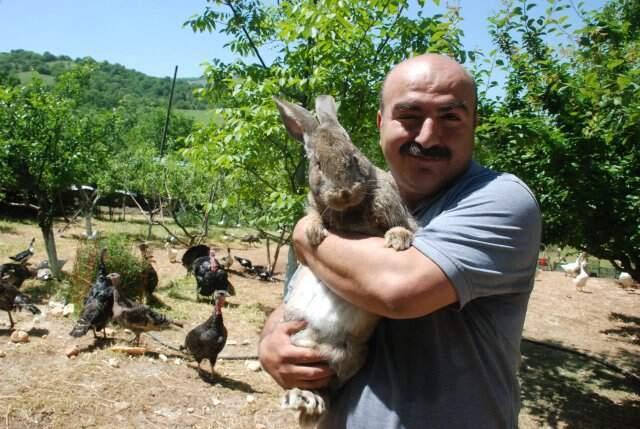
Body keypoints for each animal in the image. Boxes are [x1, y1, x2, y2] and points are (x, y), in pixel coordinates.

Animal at [274, 95, 416, 426]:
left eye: (353, 157)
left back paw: (307, 402)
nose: (344, 192)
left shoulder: (392, 204)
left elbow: (402, 224)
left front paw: (398, 240)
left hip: (350, 356)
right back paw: (301, 399)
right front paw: (313, 232)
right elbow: (313, 215)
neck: (351, 211)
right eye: (317, 164)